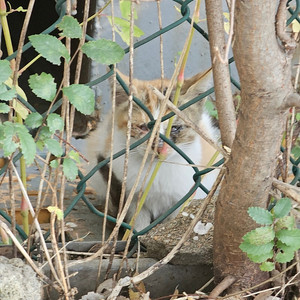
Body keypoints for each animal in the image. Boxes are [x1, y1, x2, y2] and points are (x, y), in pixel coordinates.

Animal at [85, 69, 219, 230]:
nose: (159, 148)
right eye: (143, 127)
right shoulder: (132, 198)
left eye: (175, 128)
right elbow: (138, 225)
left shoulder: (182, 198)